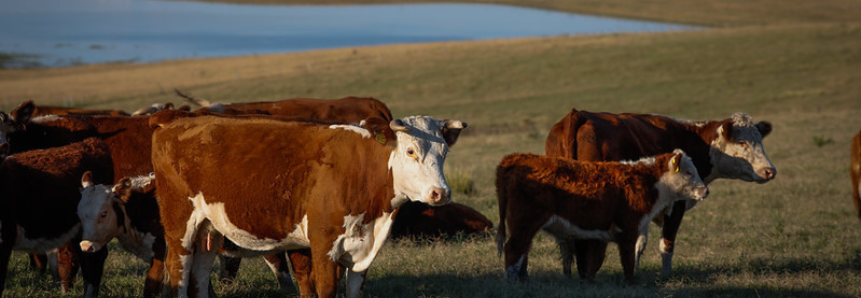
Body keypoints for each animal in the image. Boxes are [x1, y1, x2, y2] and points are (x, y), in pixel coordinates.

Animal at [151, 114, 466, 298]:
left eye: (444, 152)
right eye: (411, 151)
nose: (440, 193)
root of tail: (174, 124)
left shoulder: (363, 252)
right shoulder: (323, 244)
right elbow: (324, 289)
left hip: (209, 228)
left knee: (200, 273)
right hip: (180, 222)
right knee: (178, 269)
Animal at [494, 151, 708, 284]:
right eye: (689, 172)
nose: (706, 191)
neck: (647, 181)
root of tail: (514, 158)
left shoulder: (600, 234)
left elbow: (595, 262)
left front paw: (589, 283)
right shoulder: (628, 229)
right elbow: (628, 260)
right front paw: (630, 283)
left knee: (523, 252)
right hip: (525, 223)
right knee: (514, 250)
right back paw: (512, 283)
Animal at [544, 109, 780, 278]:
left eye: (760, 141)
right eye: (742, 142)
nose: (770, 171)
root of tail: (579, 114)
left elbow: (639, 243)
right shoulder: (675, 205)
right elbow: (667, 242)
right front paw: (665, 275)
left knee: (565, 244)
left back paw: (568, 276)